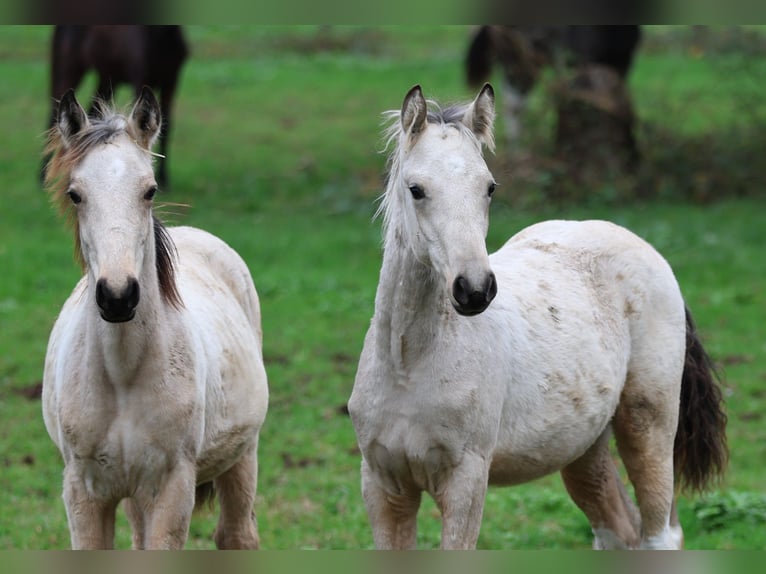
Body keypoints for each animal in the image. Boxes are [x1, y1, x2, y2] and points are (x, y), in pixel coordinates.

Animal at [43, 88, 270, 552]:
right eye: (75, 194)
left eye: (149, 190)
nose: (117, 296)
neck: (122, 374)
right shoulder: (83, 491)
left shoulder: (171, 488)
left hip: (242, 456)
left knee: (237, 534)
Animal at [44, 25, 189, 188]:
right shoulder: (140, 79)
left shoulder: (171, 83)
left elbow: (166, 128)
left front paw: (164, 179)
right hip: (67, 69)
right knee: (52, 117)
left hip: (106, 80)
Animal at [352, 84, 728, 548]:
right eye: (416, 189)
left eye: (489, 187)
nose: (474, 289)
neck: (409, 365)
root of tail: (648, 251)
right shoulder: (383, 484)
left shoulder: (465, 481)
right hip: (583, 445)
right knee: (619, 529)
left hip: (649, 424)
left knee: (661, 534)